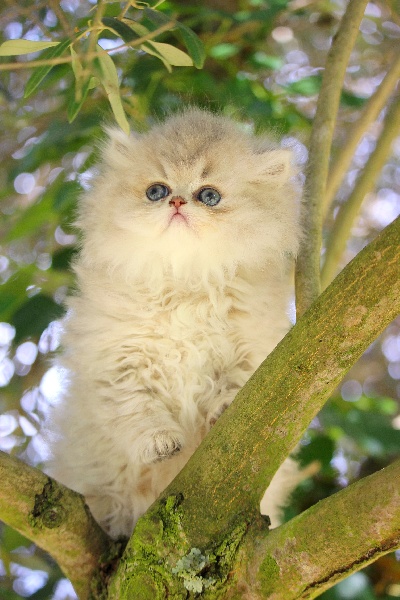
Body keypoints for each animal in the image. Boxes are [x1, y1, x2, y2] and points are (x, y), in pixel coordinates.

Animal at [45, 109, 302, 540]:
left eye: (209, 196)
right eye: (156, 191)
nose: (178, 201)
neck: (184, 283)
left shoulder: (256, 344)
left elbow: (239, 380)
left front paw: (225, 406)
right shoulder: (117, 362)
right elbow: (138, 411)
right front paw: (160, 443)